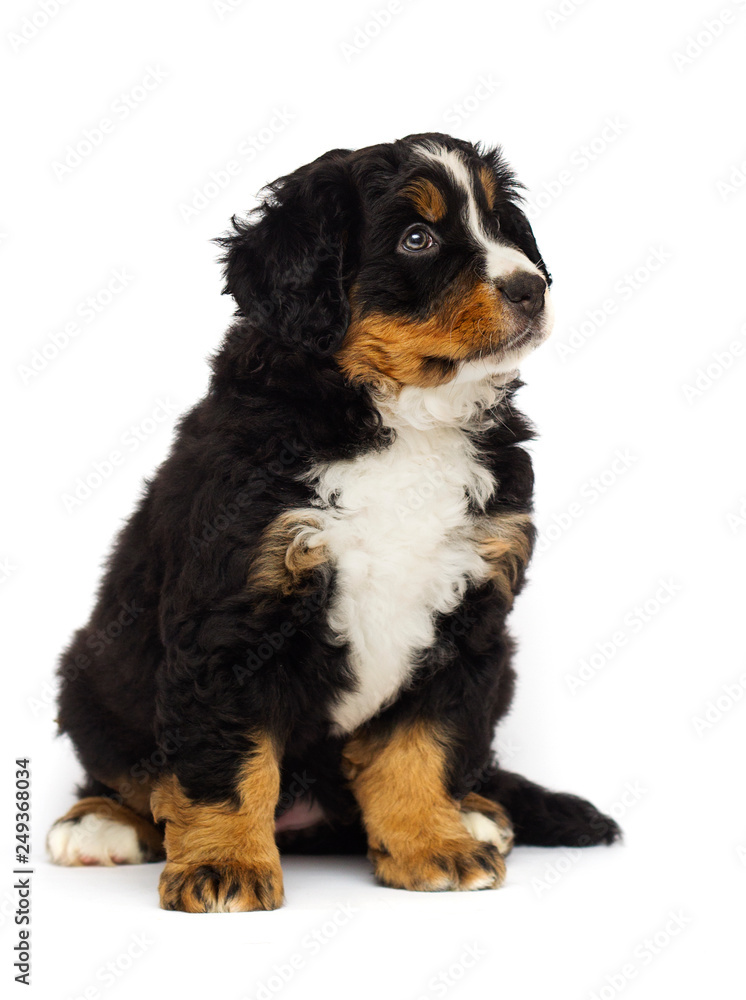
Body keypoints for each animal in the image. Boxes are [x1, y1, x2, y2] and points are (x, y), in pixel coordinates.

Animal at [46, 135, 616, 916]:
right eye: (417, 238)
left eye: (503, 225)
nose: (531, 287)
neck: (405, 423)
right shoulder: (236, 611)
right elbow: (228, 762)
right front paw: (223, 863)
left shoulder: (468, 615)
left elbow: (421, 744)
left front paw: (431, 844)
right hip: (93, 677)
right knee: (130, 772)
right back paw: (99, 821)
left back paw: (478, 812)